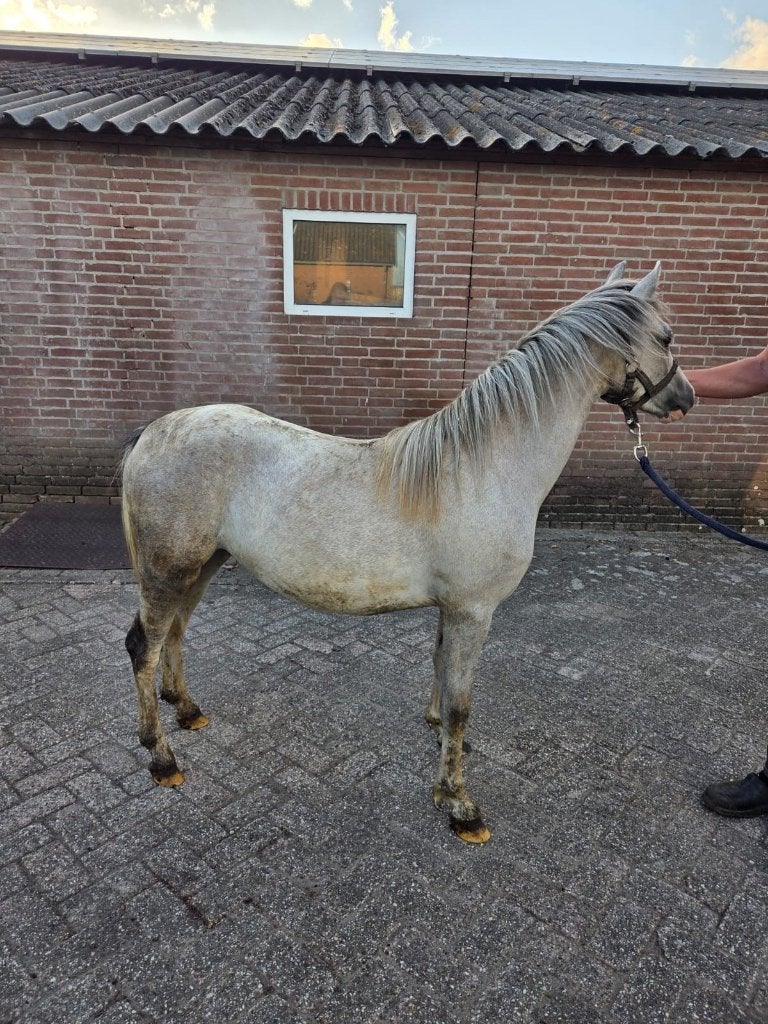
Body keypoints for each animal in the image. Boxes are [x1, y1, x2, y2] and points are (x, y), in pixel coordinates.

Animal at [120, 262, 694, 844]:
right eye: (666, 337)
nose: (686, 397)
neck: (483, 469)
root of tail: (153, 432)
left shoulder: (453, 609)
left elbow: (441, 671)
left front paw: (441, 747)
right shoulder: (473, 611)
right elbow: (462, 703)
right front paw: (460, 804)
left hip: (201, 565)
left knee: (174, 633)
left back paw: (186, 710)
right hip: (168, 570)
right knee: (144, 646)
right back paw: (162, 758)